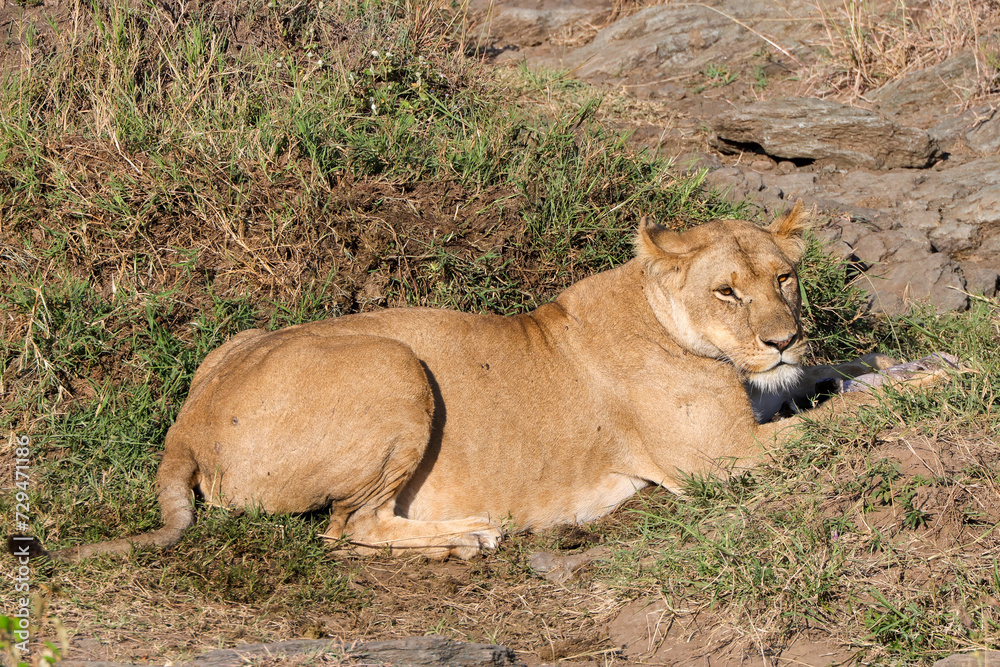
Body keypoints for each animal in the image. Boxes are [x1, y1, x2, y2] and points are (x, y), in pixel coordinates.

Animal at [50, 202, 896, 562]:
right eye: (727, 291)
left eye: (784, 279)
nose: (782, 336)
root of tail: (187, 423)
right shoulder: (724, 463)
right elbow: (837, 420)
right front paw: (905, 388)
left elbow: (826, 380)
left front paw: (885, 364)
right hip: (395, 365)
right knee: (346, 526)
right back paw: (468, 534)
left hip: (244, 344)